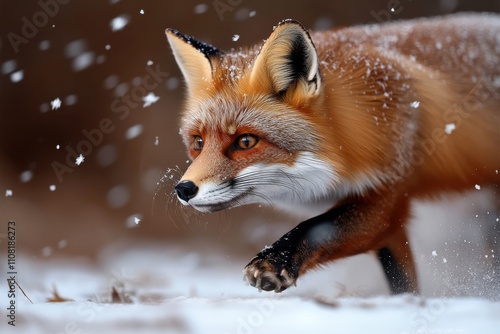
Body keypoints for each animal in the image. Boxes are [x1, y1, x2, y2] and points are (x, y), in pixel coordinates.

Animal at [166, 13, 498, 294]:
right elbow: (404, 283)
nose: (184, 189)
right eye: (198, 142)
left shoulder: (387, 198)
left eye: (246, 141)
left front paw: (273, 261)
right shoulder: (391, 227)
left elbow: (317, 228)